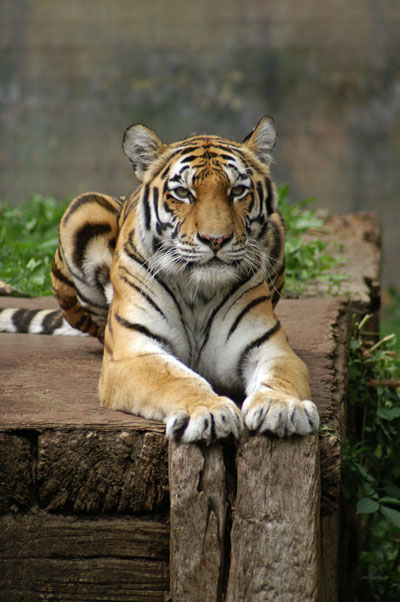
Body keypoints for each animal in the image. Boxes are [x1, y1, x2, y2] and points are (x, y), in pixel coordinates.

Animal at [0, 116, 318, 440]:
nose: (215, 240)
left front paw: (282, 407)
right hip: (82, 209)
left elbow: (281, 376)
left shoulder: (270, 347)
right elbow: (177, 379)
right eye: (183, 193)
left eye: (238, 191)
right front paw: (209, 411)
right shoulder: (135, 352)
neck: (199, 292)